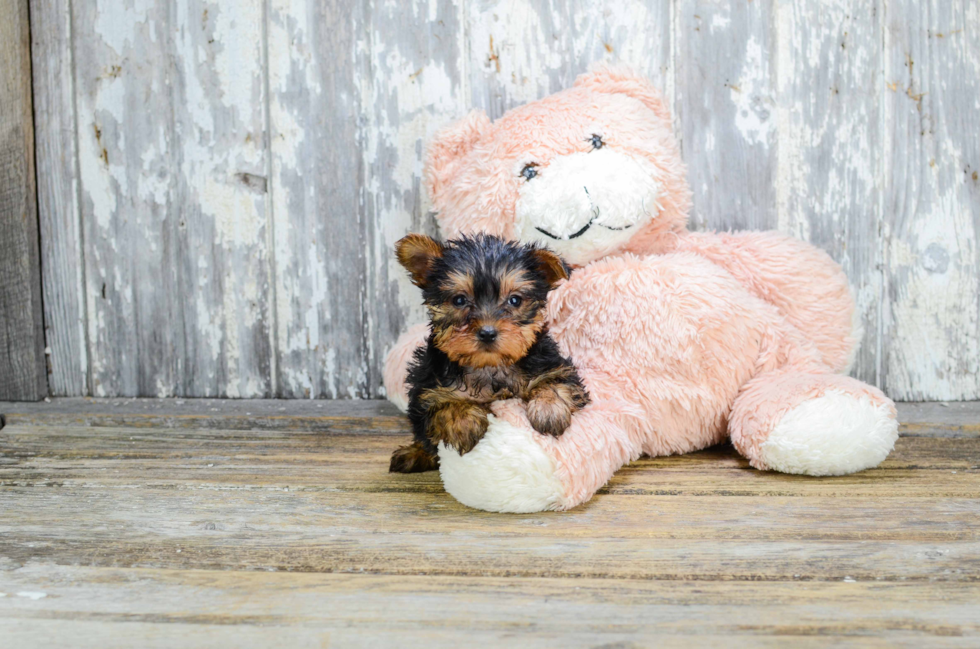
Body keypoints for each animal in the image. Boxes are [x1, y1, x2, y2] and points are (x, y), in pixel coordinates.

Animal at [388, 232, 588, 470]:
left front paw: (548, 410)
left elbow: (554, 382)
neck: (489, 366)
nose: (487, 332)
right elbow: (442, 405)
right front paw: (464, 423)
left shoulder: (554, 365)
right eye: (459, 300)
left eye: (514, 300)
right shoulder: (427, 389)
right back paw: (415, 453)